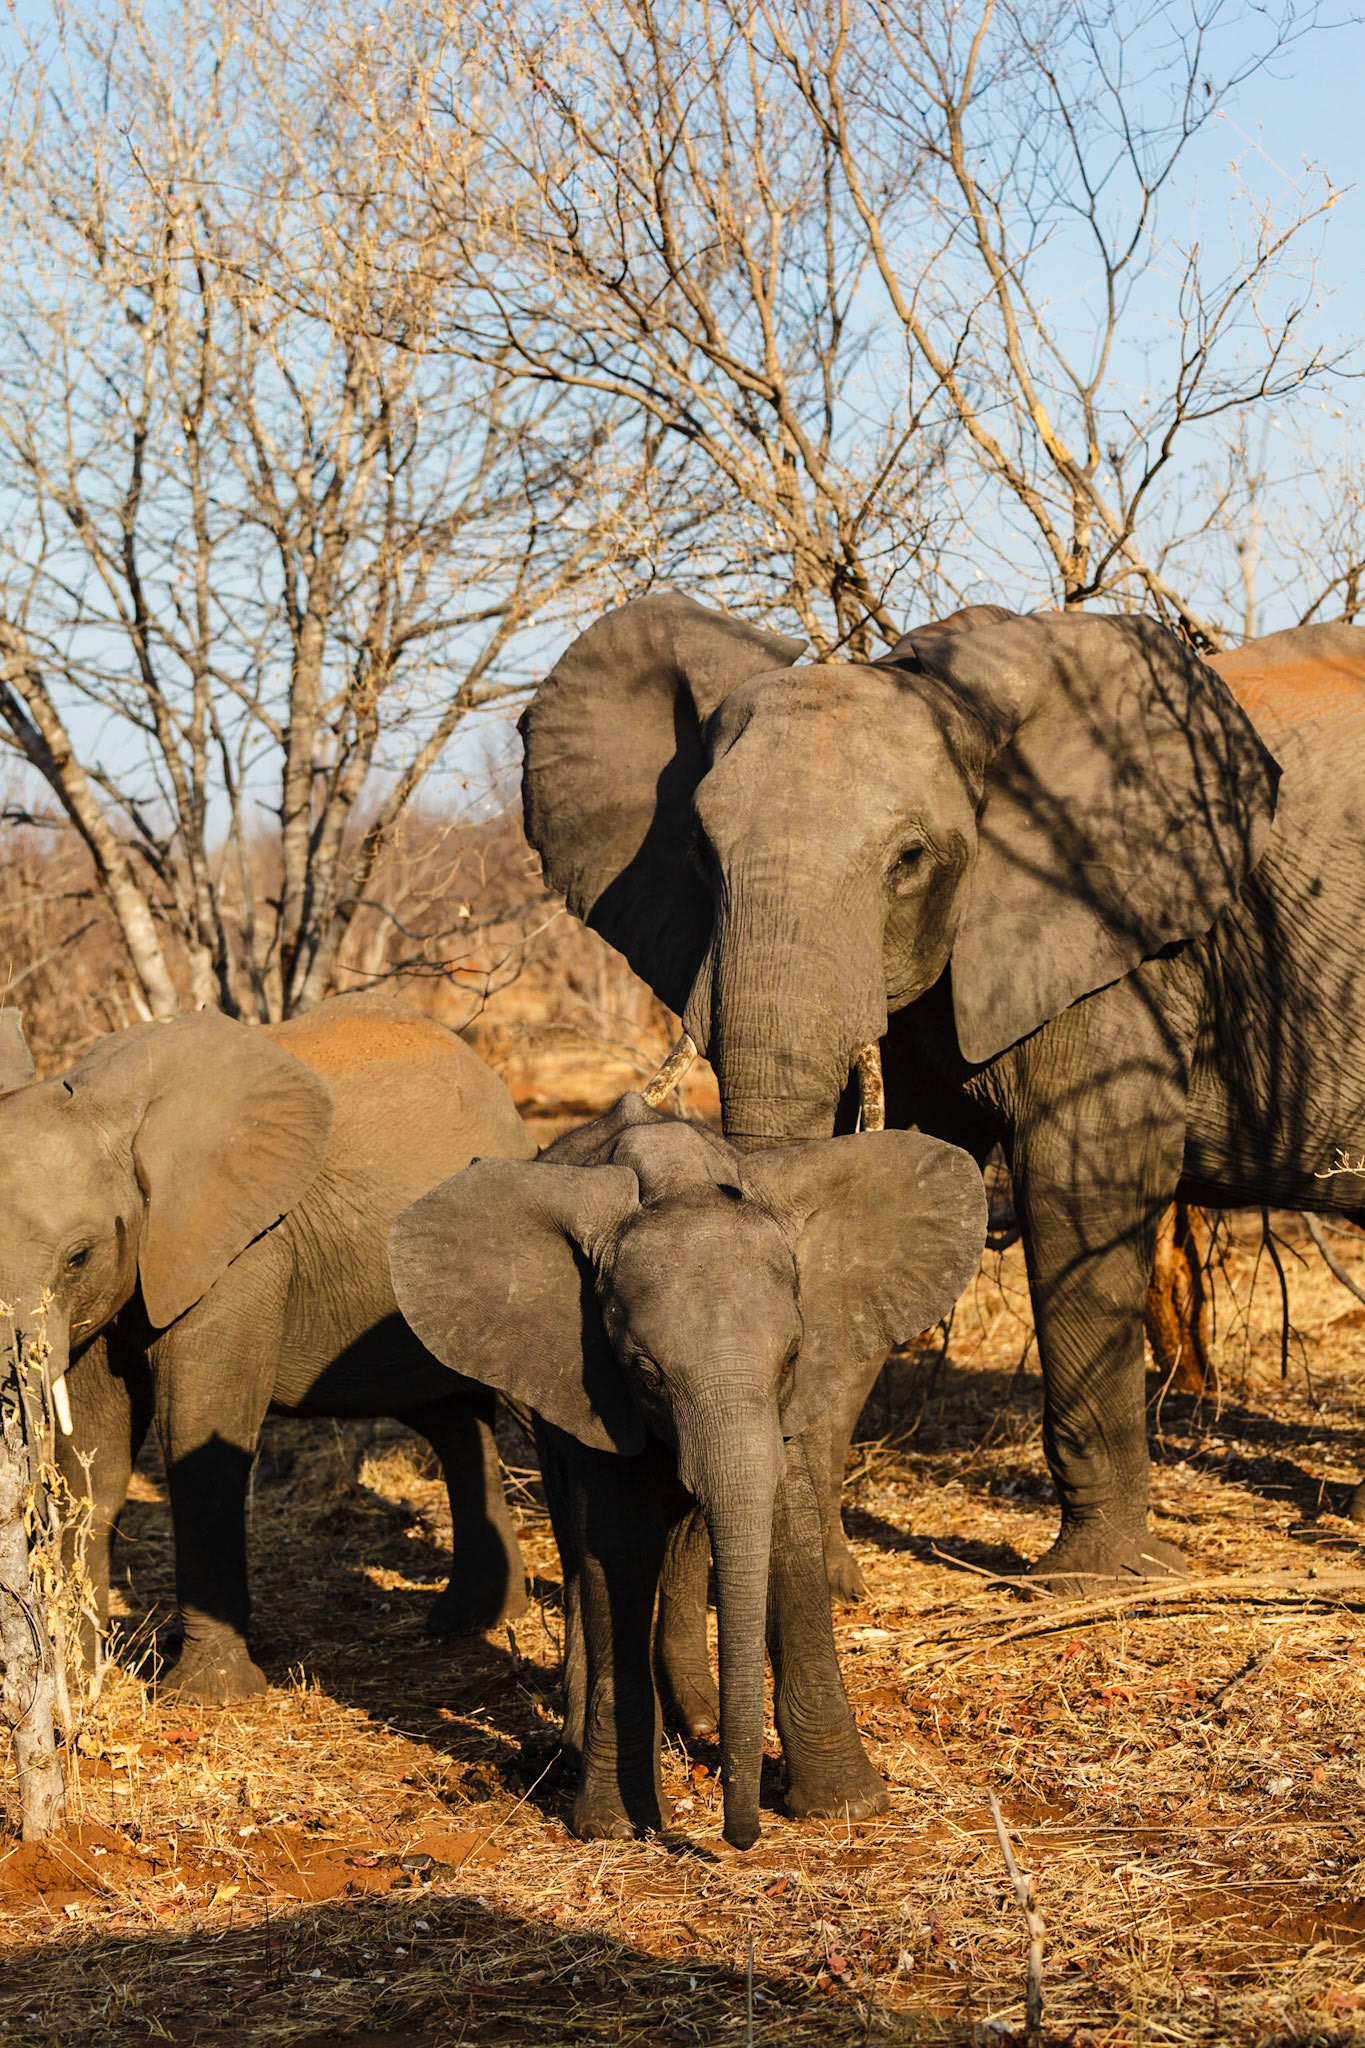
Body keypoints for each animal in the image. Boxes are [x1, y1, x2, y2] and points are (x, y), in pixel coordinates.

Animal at [0, 992, 535, 1700]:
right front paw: (85, 1684)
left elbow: (198, 1428)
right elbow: (91, 1449)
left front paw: (206, 1696)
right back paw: (470, 1623)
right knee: (452, 1421)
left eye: (78, 1256)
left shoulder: (244, 1248)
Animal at [388, 1091, 985, 1849]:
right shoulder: (588, 1378)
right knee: (577, 1541)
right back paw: (582, 1746)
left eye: (792, 1358)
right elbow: (615, 1543)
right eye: (644, 1371)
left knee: (682, 1537)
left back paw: (697, 1717)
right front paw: (618, 1825)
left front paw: (845, 1808)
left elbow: (785, 1521)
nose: (738, 1837)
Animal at [519, 593, 1365, 1587]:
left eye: (910, 859)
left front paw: (1096, 1581)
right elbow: (887, 1183)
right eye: (695, 848)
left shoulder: (1119, 940)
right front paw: (830, 1586)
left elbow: (1080, 1182)